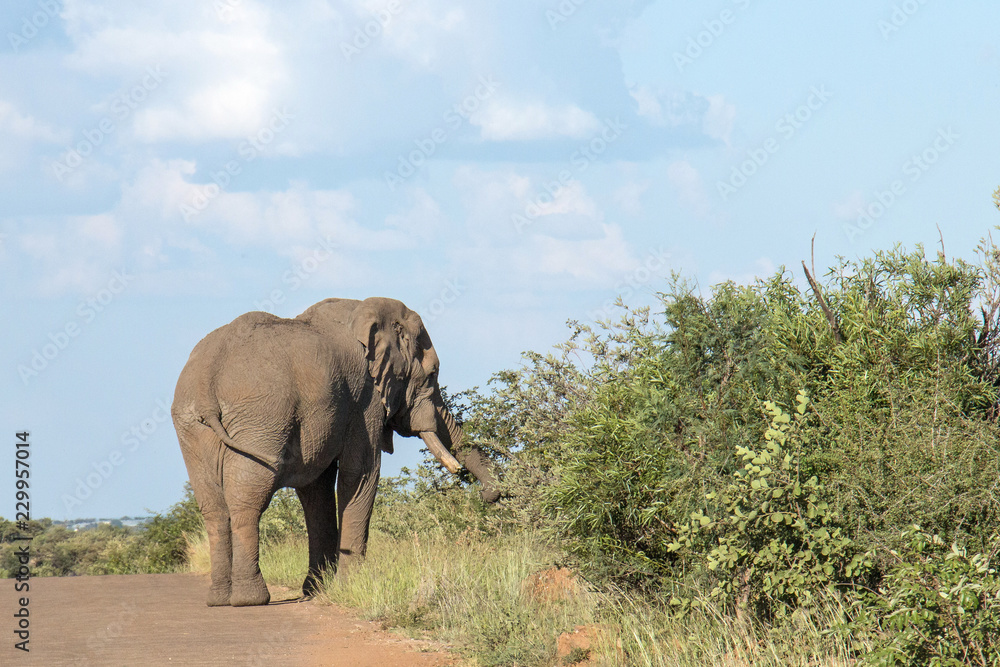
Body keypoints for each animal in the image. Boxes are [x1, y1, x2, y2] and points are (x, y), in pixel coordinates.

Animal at [171, 296, 499, 607]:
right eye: (433, 374)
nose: (487, 494)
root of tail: (206, 381)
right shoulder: (365, 401)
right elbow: (362, 474)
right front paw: (352, 586)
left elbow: (317, 490)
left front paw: (317, 590)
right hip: (260, 415)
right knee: (247, 501)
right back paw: (250, 599)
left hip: (191, 426)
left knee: (214, 509)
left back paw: (218, 599)